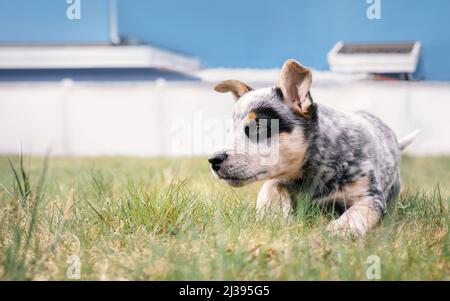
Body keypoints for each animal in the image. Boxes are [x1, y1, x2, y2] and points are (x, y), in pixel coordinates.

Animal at [209, 59, 420, 237]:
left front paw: (340, 229)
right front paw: (274, 215)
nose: (213, 160)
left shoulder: (371, 197)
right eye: (229, 131)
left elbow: (357, 213)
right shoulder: (279, 178)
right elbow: (270, 187)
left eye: (258, 127)